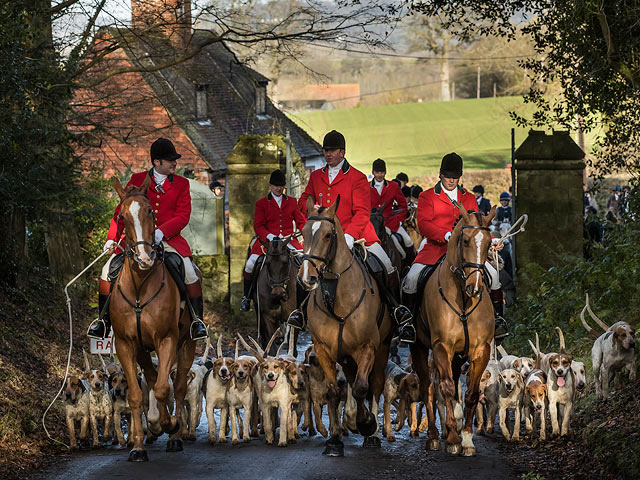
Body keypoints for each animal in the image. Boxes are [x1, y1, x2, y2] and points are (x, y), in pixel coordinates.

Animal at [110, 177, 195, 462]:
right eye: (122, 217)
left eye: (150, 212)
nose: (144, 257)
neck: (139, 285)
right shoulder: (125, 344)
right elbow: (137, 395)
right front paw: (138, 446)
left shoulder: (167, 339)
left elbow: (163, 388)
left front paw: (169, 424)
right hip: (142, 349)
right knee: (152, 376)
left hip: (186, 343)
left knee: (177, 386)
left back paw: (175, 435)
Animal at [300, 195, 396, 454]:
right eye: (303, 233)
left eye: (327, 235)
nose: (307, 278)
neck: (336, 295)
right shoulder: (323, 350)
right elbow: (334, 392)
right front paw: (335, 439)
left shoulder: (367, 348)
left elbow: (363, 388)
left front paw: (367, 424)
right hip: (346, 356)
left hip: (382, 348)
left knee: (374, 384)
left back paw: (371, 432)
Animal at [410, 204, 496, 456]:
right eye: (465, 241)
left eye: (489, 242)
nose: (474, 288)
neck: (463, 300)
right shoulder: (441, 347)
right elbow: (447, 388)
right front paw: (453, 439)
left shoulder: (481, 350)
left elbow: (471, 393)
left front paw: (466, 438)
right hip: (419, 348)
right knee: (428, 388)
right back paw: (434, 436)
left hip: (458, 355)